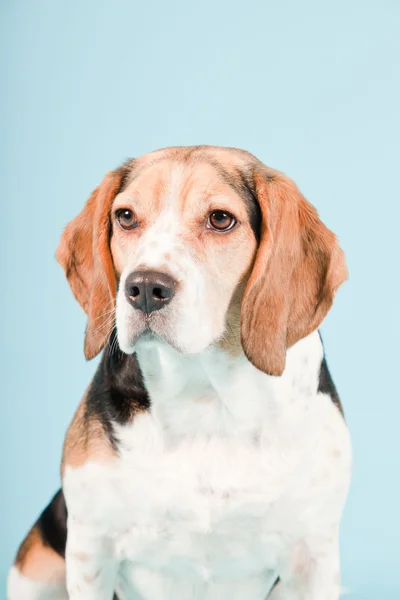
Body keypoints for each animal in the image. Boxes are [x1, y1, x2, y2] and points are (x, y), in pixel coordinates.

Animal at [8, 146, 350, 600]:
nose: (144, 288)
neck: (206, 394)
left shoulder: (314, 557)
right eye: (126, 216)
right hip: (36, 567)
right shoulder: (90, 550)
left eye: (220, 219)